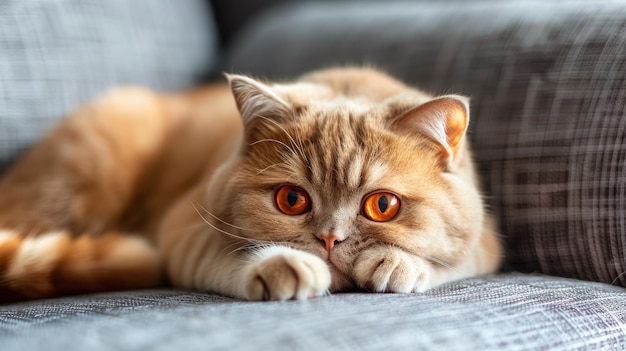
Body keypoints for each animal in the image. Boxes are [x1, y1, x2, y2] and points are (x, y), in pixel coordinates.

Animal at [0, 67, 500, 302]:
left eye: (382, 206)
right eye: (291, 199)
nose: (329, 240)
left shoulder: (485, 245)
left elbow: (452, 261)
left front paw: (398, 263)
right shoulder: (184, 231)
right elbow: (226, 258)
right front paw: (283, 265)